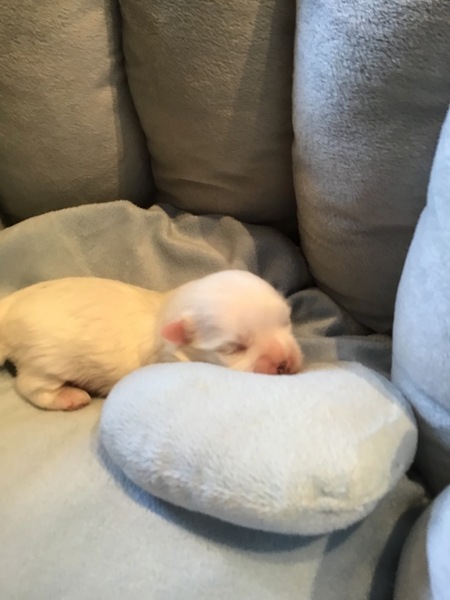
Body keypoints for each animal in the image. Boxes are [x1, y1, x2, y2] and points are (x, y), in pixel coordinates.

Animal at [0, 270, 303, 411]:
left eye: (286, 322)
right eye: (233, 348)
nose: (284, 363)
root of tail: (8, 307)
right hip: (46, 359)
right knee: (30, 385)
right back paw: (69, 396)